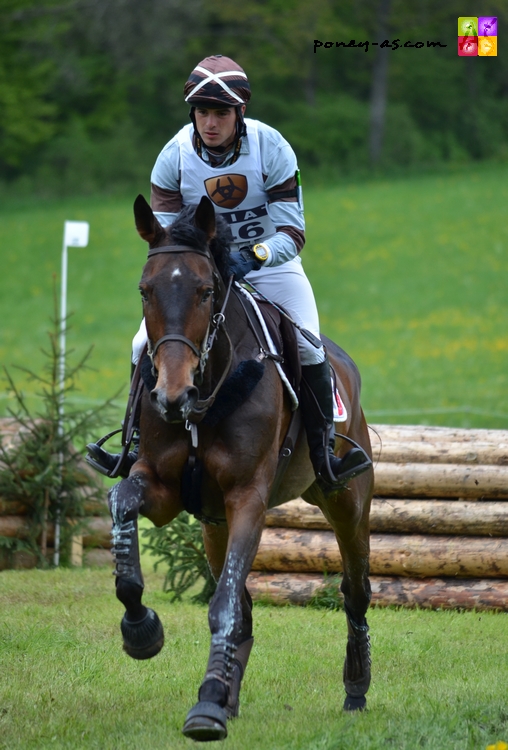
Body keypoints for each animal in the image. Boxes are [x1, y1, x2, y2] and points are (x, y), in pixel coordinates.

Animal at [107, 192, 376, 740]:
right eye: (145, 291)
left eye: (207, 292)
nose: (172, 397)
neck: (208, 393)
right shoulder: (162, 489)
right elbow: (122, 504)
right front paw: (142, 631)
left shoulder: (248, 497)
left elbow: (225, 604)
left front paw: (206, 709)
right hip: (213, 524)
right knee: (247, 606)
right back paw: (224, 695)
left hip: (346, 500)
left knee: (355, 590)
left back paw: (356, 687)